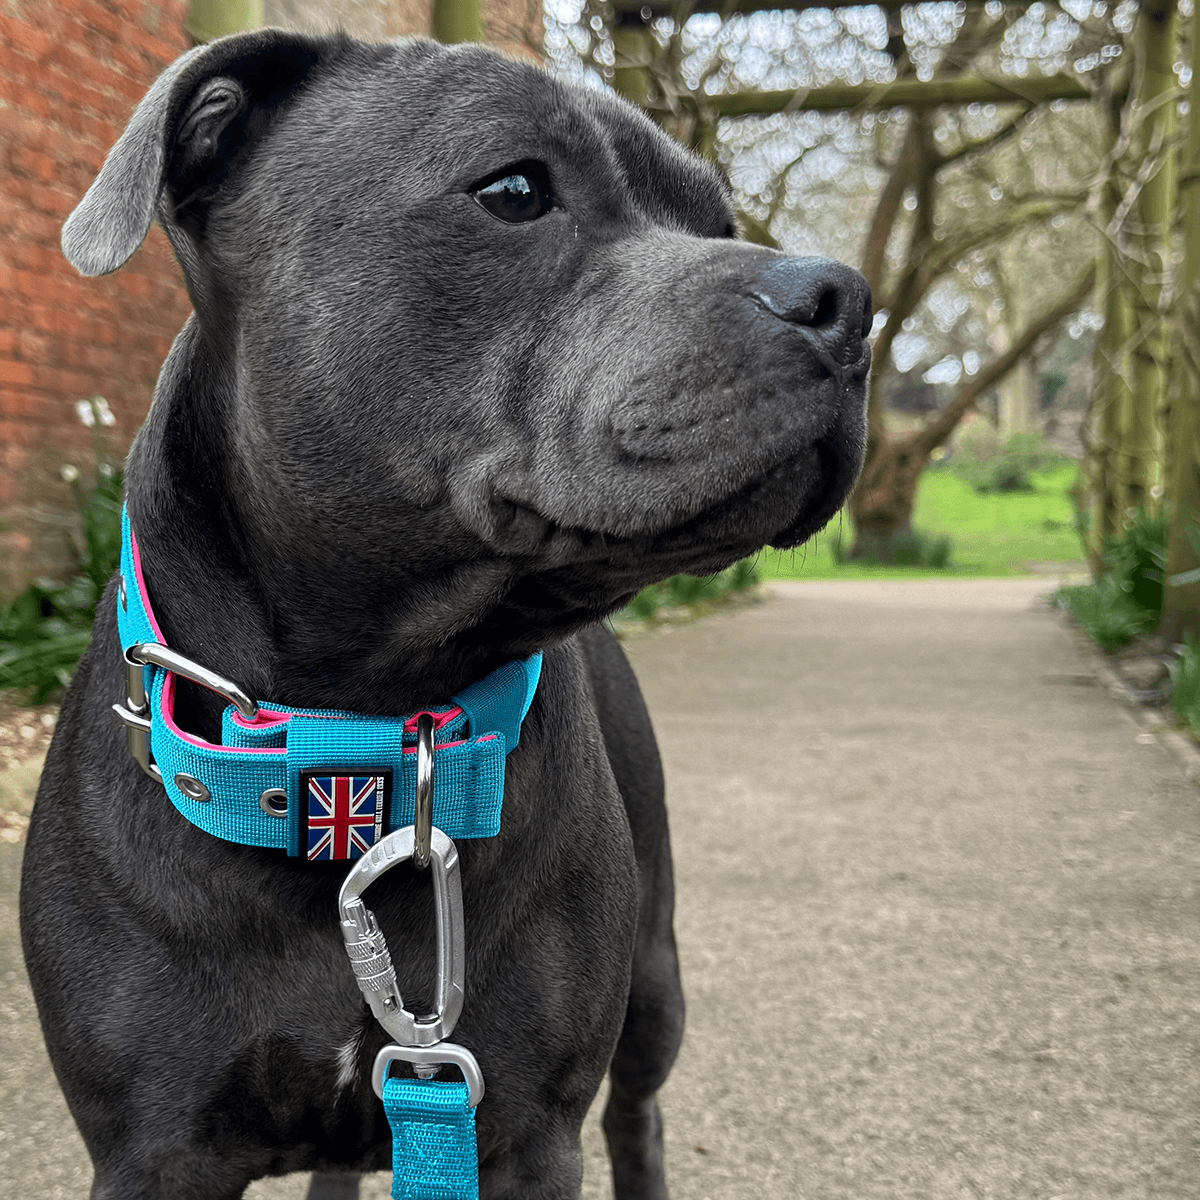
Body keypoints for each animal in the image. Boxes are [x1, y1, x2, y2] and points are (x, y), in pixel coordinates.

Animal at [21, 28, 873, 1200]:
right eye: (514, 190)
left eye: (719, 221)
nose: (848, 300)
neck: (355, 749)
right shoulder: (155, 1150)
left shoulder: (522, 1130)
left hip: (655, 979)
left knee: (639, 1114)